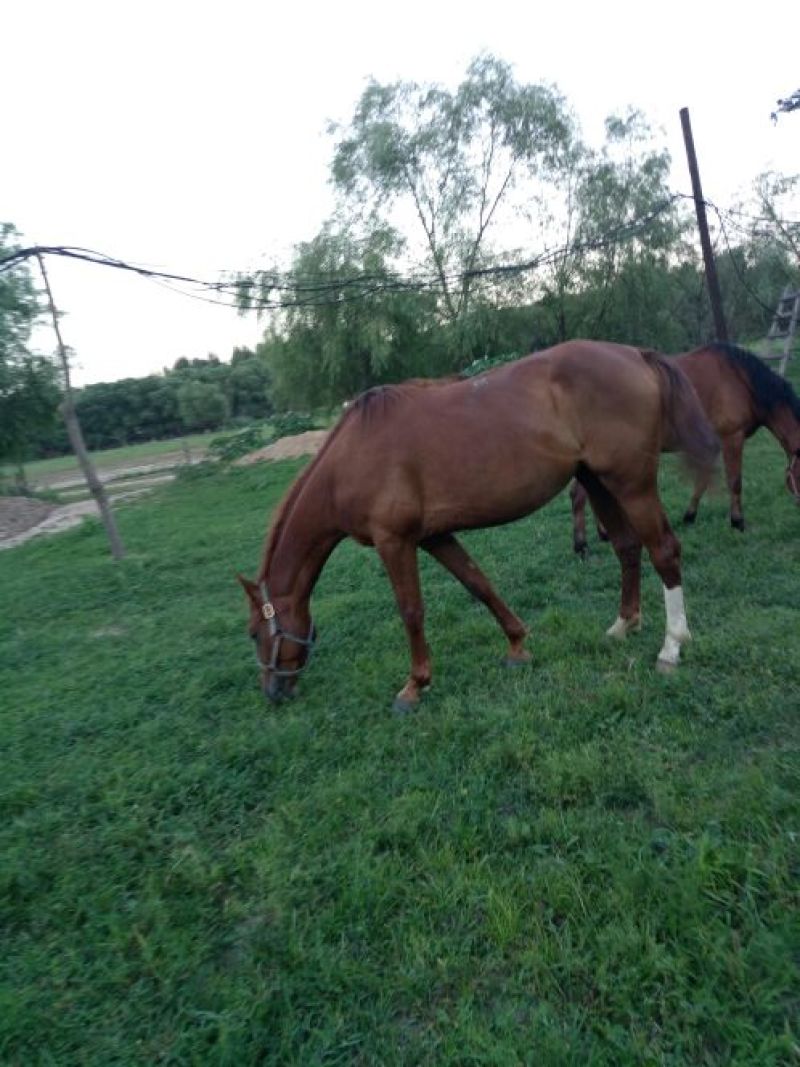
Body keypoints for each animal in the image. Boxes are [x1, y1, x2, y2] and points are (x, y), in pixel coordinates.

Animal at [239, 339, 719, 713]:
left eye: (254, 633)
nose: (272, 691)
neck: (351, 459)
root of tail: (635, 354)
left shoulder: (394, 541)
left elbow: (411, 611)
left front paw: (414, 686)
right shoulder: (433, 536)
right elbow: (478, 583)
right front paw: (517, 645)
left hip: (631, 483)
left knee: (664, 550)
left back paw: (672, 646)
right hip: (597, 481)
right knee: (626, 546)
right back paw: (623, 625)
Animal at [569, 342, 800, 556]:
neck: (740, 380)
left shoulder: (711, 446)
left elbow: (702, 481)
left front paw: (689, 516)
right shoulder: (731, 438)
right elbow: (735, 482)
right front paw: (737, 522)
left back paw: (603, 534)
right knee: (579, 496)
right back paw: (582, 546)